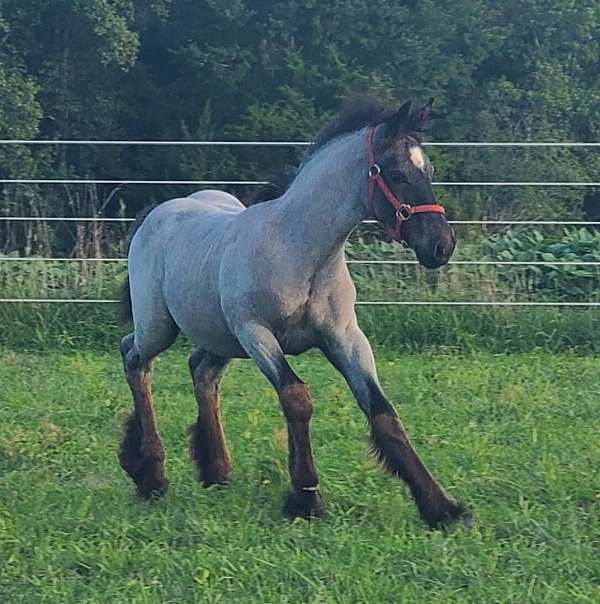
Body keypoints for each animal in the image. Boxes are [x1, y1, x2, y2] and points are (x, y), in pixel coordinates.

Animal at [119, 96, 472, 528]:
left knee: (201, 373)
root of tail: (156, 213)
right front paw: (306, 498)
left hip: (220, 338)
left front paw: (441, 507)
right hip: (161, 328)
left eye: (430, 171)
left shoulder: (344, 337)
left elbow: (382, 411)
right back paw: (149, 471)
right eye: (398, 174)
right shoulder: (256, 333)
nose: (442, 245)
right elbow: (296, 398)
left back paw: (215, 469)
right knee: (134, 359)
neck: (300, 253)